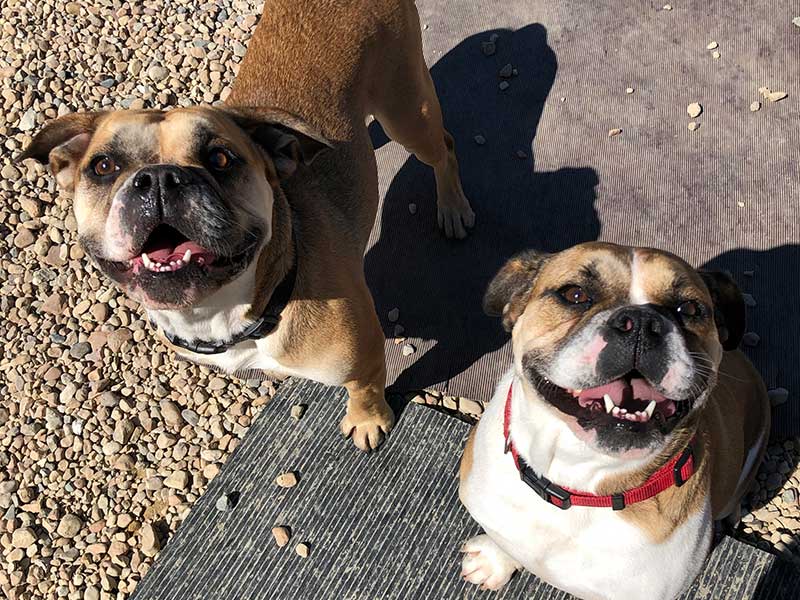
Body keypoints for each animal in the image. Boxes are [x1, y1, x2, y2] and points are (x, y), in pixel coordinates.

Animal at [20, 0, 476, 450]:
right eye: (103, 166)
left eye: (221, 158)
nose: (160, 178)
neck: (224, 312)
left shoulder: (363, 358)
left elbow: (365, 391)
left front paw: (368, 422)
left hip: (407, 113)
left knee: (444, 148)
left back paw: (453, 208)